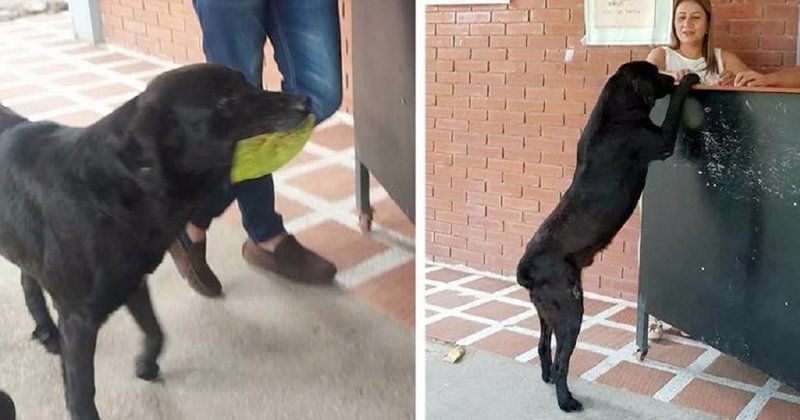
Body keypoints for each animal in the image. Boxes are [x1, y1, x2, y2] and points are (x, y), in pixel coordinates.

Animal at [0, 63, 310, 420]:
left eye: (247, 83)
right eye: (225, 100)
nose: (305, 101)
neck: (120, 186)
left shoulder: (132, 283)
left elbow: (156, 331)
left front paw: (146, 364)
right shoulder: (79, 320)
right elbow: (82, 394)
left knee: (28, 279)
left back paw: (47, 331)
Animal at [516, 60, 696, 412]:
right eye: (654, 72)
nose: (670, 76)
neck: (616, 110)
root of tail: (526, 271)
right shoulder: (659, 140)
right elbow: (674, 109)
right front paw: (689, 81)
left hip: (547, 312)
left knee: (543, 346)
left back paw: (547, 379)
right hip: (570, 310)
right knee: (561, 362)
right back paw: (566, 401)